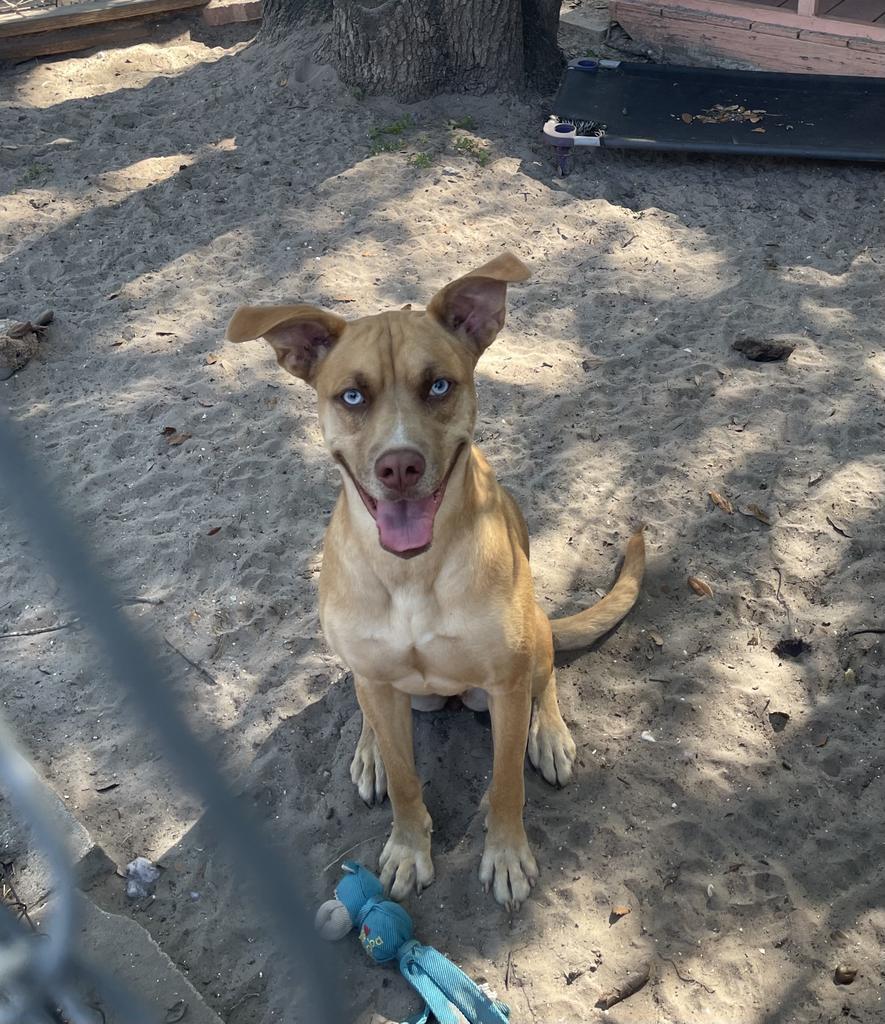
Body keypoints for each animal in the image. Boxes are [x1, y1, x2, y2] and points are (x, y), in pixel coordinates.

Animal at [228, 256, 643, 913]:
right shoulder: (379, 679)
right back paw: (369, 752)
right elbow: (405, 781)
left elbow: (505, 781)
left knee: (546, 679)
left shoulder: (505, 684)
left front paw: (505, 855)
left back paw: (550, 735)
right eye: (352, 395)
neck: (412, 572)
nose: (400, 466)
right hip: (389, 684)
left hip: (527, 646)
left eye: (439, 386)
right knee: (368, 706)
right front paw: (406, 847)